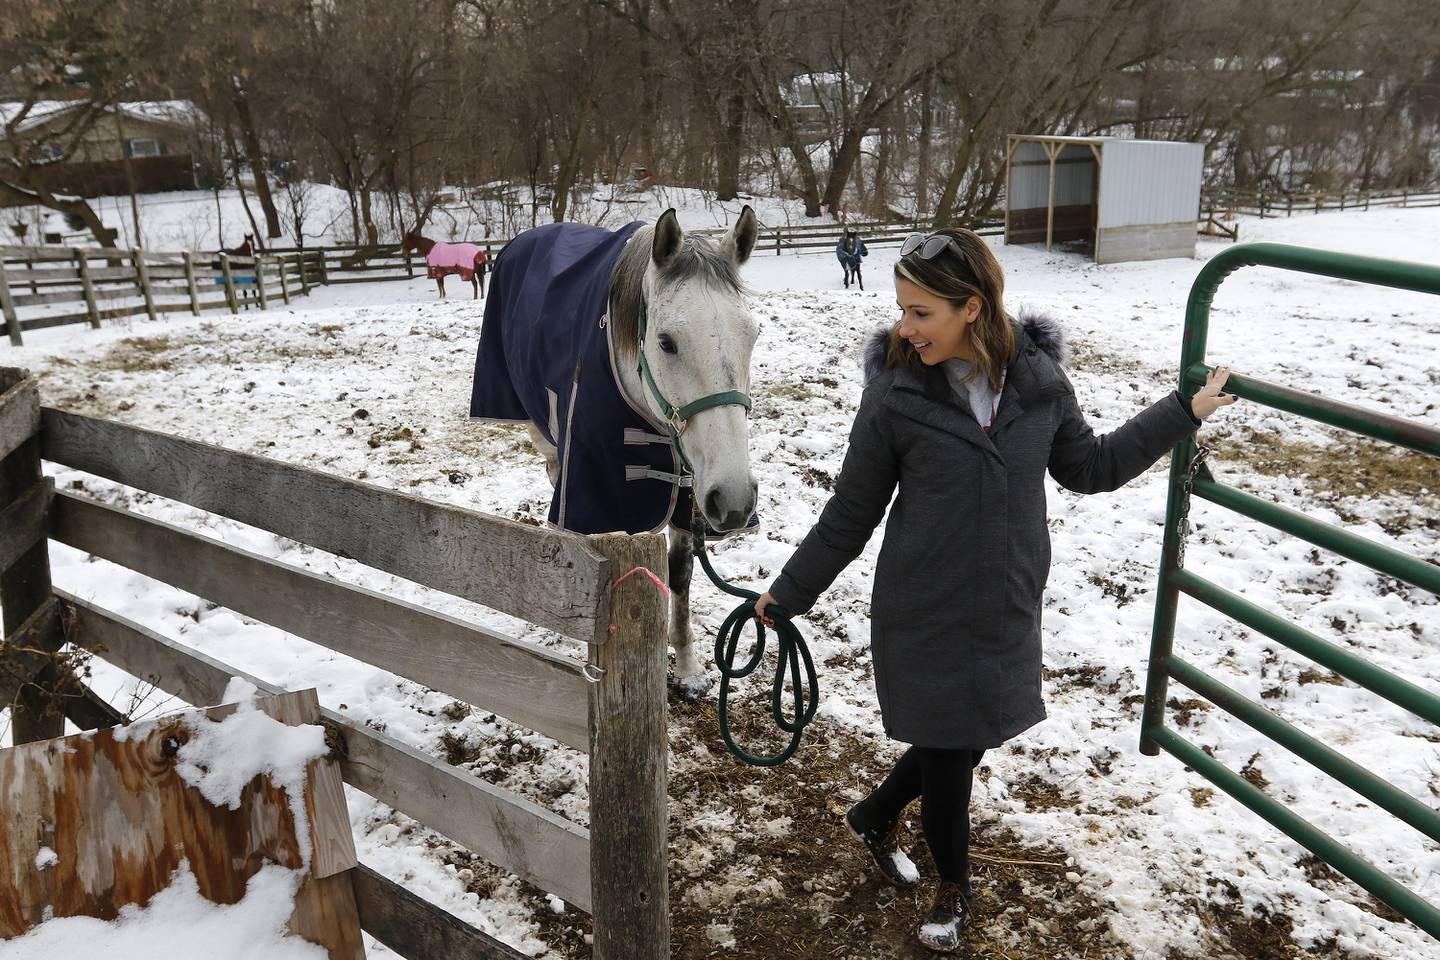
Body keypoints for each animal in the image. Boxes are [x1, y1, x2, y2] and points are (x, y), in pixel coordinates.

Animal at [524, 210, 760, 693]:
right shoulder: (594, 491)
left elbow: (680, 577)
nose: (735, 500)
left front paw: (688, 668)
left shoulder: (690, 494)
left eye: (752, 336)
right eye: (666, 342)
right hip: (544, 432)